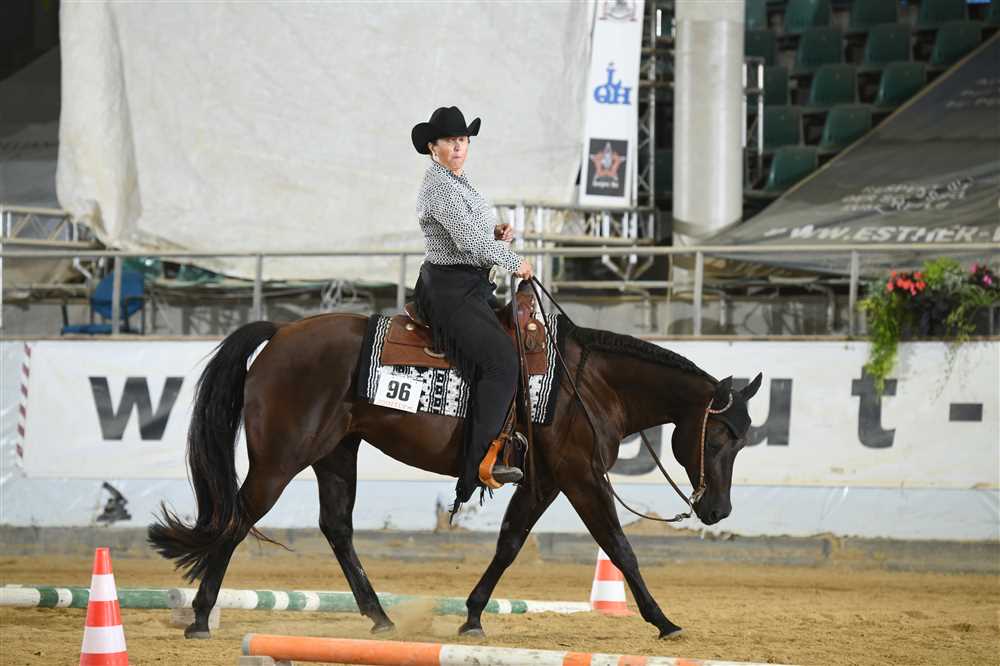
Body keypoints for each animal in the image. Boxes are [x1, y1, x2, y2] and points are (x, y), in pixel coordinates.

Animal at [148, 308, 763, 640]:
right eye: (720, 437)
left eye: (746, 437)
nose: (718, 510)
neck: (588, 385)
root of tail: (280, 333)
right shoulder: (580, 475)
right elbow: (619, 547)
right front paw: (664, 620)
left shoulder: (543, 480)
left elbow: (509, 543)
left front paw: (470, 617)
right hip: (281, 458)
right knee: (237, 518)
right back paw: (200, 617)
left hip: (336, 452)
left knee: (337, 527)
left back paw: (379, 618)